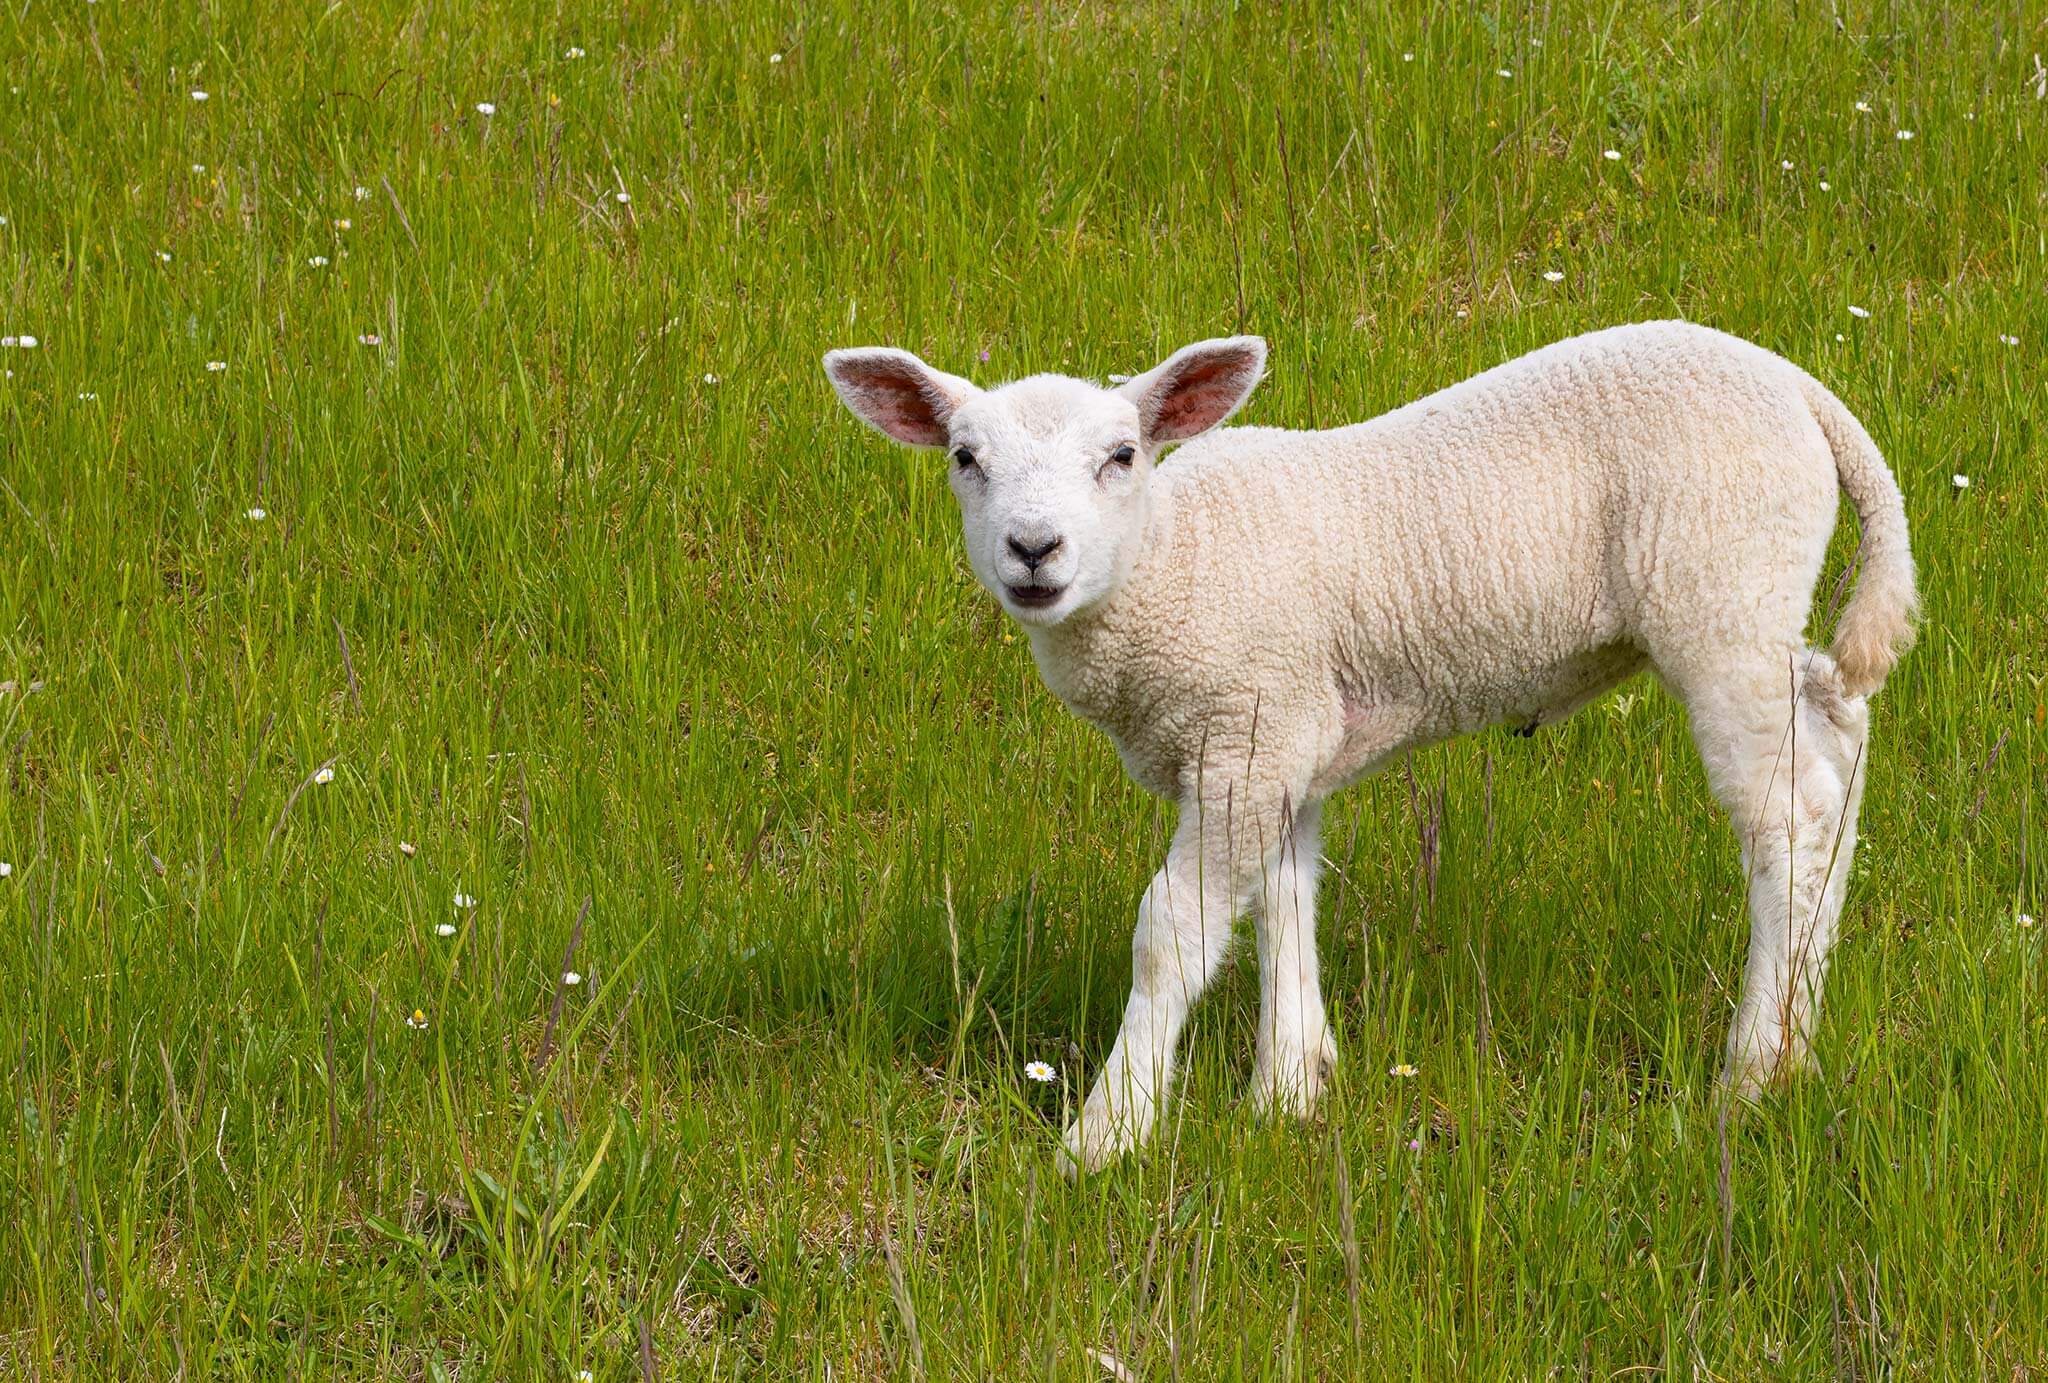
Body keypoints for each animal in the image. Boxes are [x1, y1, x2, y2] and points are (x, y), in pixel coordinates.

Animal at [823, 320, 1918, 1173]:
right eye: (964, 457)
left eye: (1122, 455)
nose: (1033, 551)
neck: (1173, 560)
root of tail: (1798, 390)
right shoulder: (1282, 736)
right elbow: (1284, 901)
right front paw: (1287, 1093)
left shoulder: (1242, 733)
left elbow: (1173, 930)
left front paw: (1108, 1132)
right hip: (1760, 612)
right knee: (1838, 744)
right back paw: (1803, 1028)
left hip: (1718, 594)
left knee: (1787, 818)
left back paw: (1753, 1070)